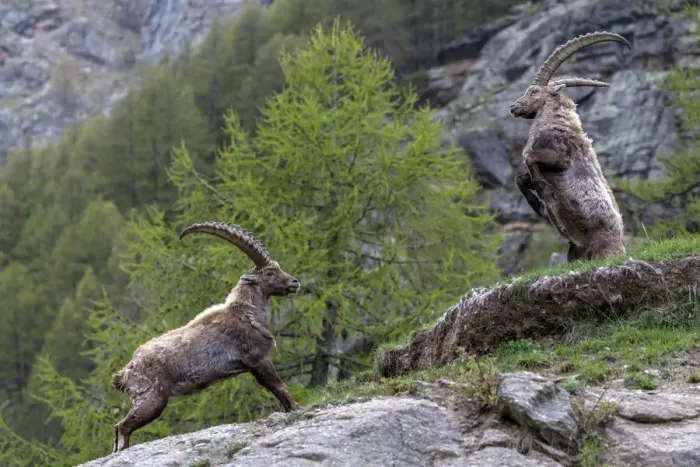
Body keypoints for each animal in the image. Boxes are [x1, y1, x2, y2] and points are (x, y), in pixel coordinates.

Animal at [111, 222, 302, 453]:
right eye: (269, 273)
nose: (294, 282)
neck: (246, 312)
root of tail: (126, 371)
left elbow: (277, 392)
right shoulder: (257, 359)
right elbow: (279, 386)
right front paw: (299, 408)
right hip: (151, 399)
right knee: (123, 427)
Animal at [510, 31, 631, 262]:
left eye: (534, 91)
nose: (514, 107)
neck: (557, 121)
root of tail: (619, 249)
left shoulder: (559, 159)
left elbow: (530, 159)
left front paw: (542, 193)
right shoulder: (547, 169)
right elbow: (521, 178)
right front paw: (537, 203)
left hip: (598, 247)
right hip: (577, 251)